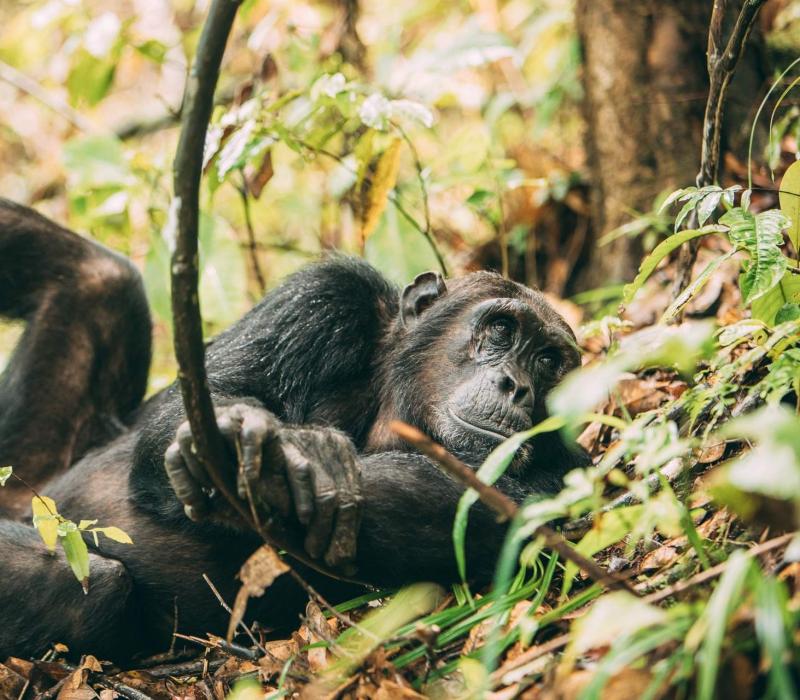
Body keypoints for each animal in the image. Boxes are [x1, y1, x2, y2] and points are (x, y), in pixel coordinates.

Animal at [0, 198, 588, 660]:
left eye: (548, 361)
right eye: (501, 328)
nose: (517, 385)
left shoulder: (563, 480)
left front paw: (296, 463)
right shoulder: (323, 300)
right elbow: (193, 402)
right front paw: (249, 436)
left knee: (94, 584)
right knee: (99, 273)